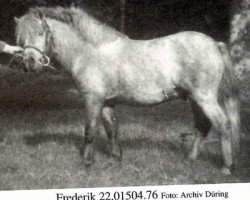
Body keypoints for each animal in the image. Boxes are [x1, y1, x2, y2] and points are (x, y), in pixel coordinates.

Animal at [15, 6, 240, 175]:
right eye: (20, 38)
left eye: (40, 33)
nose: (30, 62)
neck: (91, 53)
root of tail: (214, 43)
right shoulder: (107, 102)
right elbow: (112, 130)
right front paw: (116, 159)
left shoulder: (93, 99)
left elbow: (90, 131)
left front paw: (87, 163)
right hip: (194, 99)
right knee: (202, 126)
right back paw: (190, 159)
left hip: (204, 98)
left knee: (222, 124)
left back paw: (227, 167)